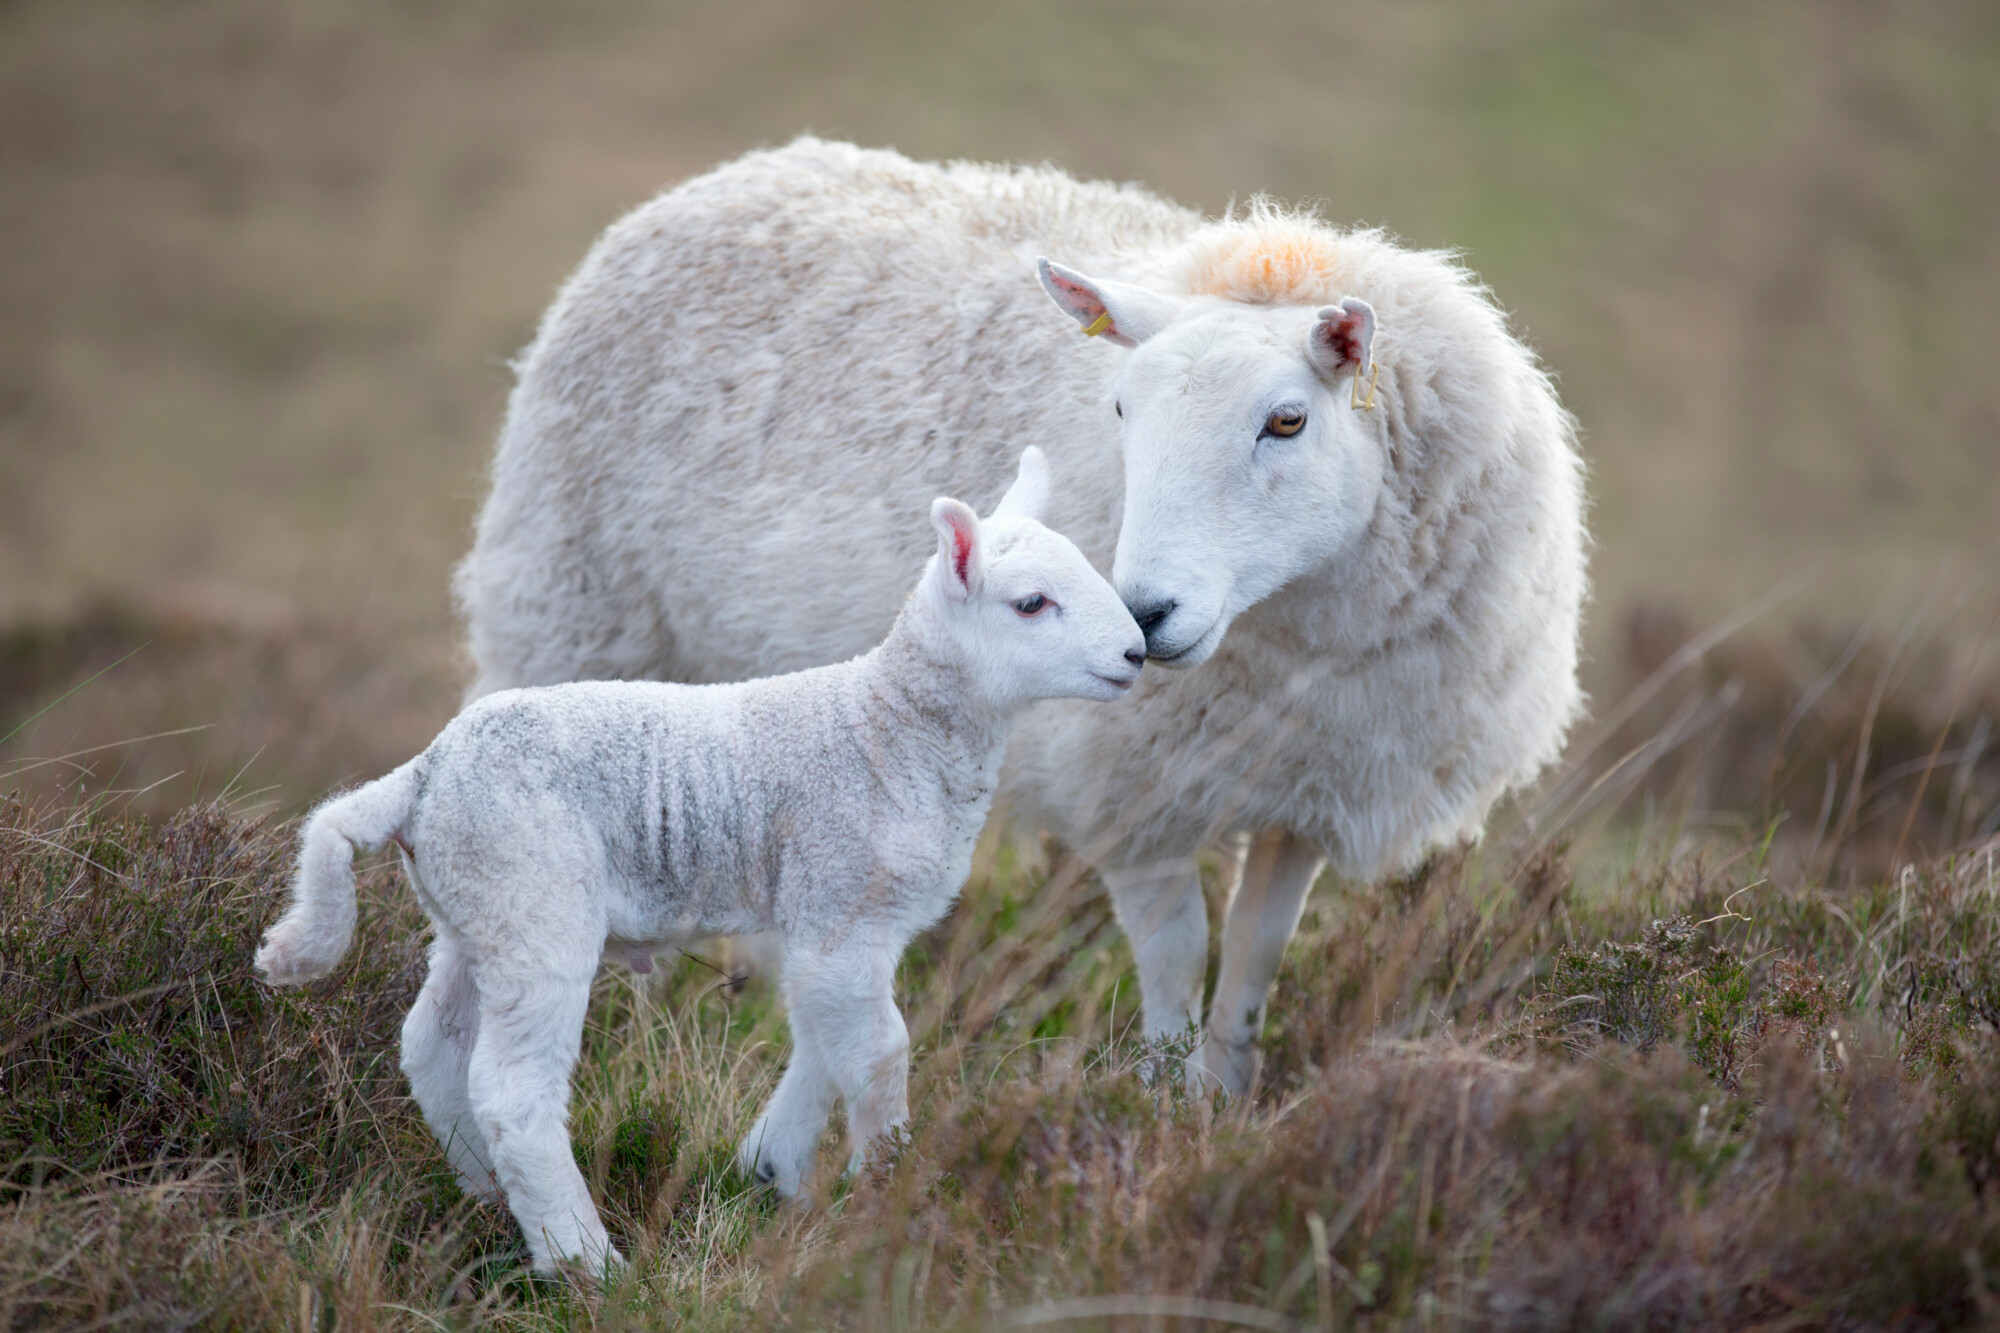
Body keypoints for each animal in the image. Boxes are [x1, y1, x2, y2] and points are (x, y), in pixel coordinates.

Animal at [258, 452, 1152, 1272]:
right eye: (1031, 603)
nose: (1138, 653)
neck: (888, 724)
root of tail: (421, 775)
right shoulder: (840, 894)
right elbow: (879, 1051)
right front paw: (888, 1193)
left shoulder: (833, 921)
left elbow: (825, 1039)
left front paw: (772, 1169)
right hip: (534, 899)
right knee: (513, 1091)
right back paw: (585, 1262)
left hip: (473, 907)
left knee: (432, 1044)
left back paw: (484, 1194)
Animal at [458, 132, 1592, 1088]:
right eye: (1121, 405)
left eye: (1286, 421)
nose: (1144, 616)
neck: (1297, 635)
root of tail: (729, 173)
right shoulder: (1131, 790)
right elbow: (1176, 957)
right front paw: (1164, 1106)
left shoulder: (1311, 784)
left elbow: (1254, 960)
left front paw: (1227, 1096)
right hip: (570, 612)